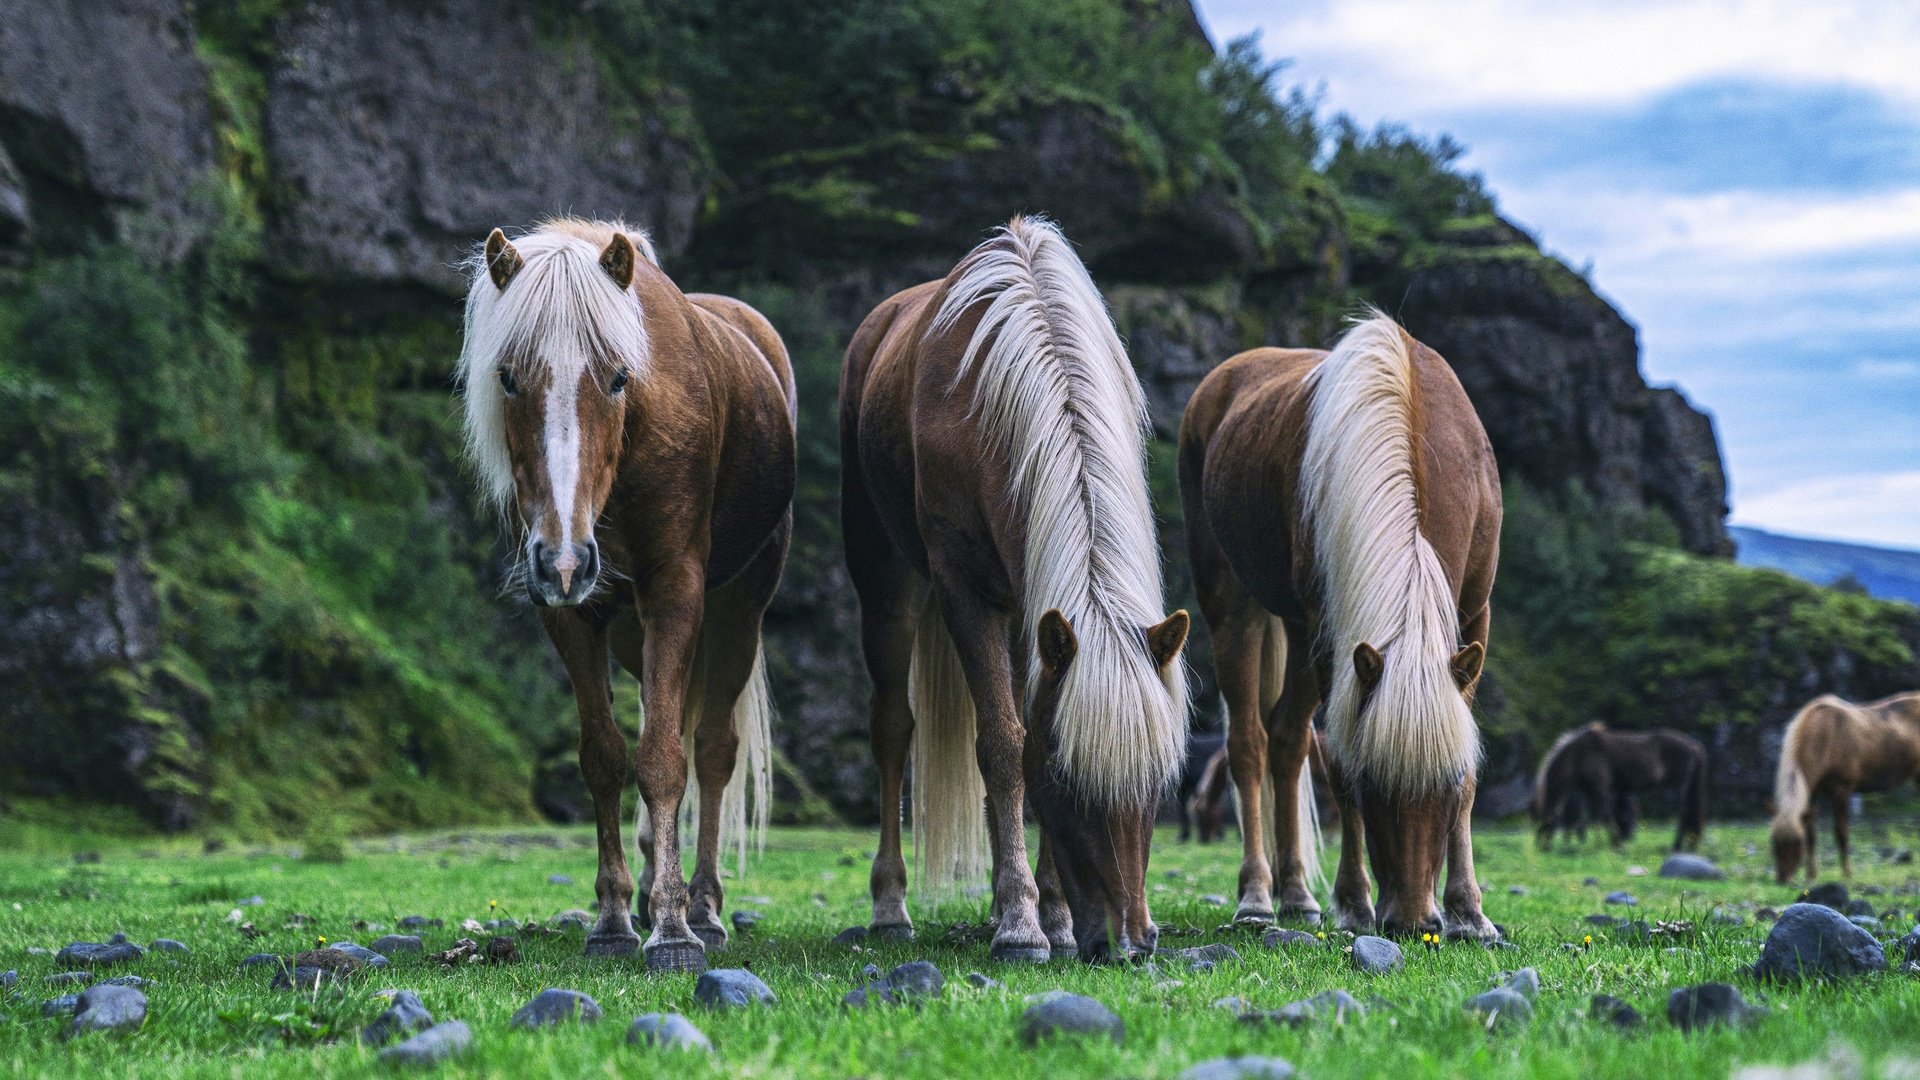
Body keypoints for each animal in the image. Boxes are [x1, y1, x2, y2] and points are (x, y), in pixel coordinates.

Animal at [460, 216, 798, 968]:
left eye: (618, 376)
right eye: (507, 377)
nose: (563, 559)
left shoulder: (675, 590)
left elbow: (668, 761)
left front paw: (673, 929)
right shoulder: (571, 615)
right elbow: (607, 759)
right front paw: (615, 918)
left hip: (739, 609)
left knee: (712, 751)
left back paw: (703, 907)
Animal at [840, 216, 1182, 957]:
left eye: (1158, 782)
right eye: (1066, 778)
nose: (1130, 940)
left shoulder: (1039, 613)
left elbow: (1025, 728)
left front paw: (1049, 913)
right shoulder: (967, 592)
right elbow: (1003, 744)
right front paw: (1024, 925)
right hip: (886, 583)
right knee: (892, 729)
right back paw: (892, 908)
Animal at [1175, 313, 1505, 933]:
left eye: (1446, 783)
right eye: (1374, 781)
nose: (1413, 922)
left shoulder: (1475, 616)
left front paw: (1468, 910)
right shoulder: (1334, 641)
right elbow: (1339, 761)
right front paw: (1354, 902)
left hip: (1296, 632)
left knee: (1287, 742)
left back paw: (1297, 893)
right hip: (1236, 609)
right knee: (1250, 745)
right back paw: (1258, 896)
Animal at [1528, 722, 1712, 849]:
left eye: (1542, 819)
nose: (1541, 846)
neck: (1578, 754)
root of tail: (1694, 745)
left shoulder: (1601, 787)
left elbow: (1605, 815)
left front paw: (1615, 844)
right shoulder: (1588, 791)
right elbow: (1593, 817)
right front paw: (1596, 844)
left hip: (1677, 786)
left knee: (1684, 813)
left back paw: (1676, 846)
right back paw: (1690, 845)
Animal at [1766, 687, 1920, 883]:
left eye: (1797, 841)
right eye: (1773, 840)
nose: (1783, 879)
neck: (1824, 738)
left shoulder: (1842, 789)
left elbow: (1841, 832)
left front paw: (1847, 873)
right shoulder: (1812, 793)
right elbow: (1812, 833)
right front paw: (1811, 875)